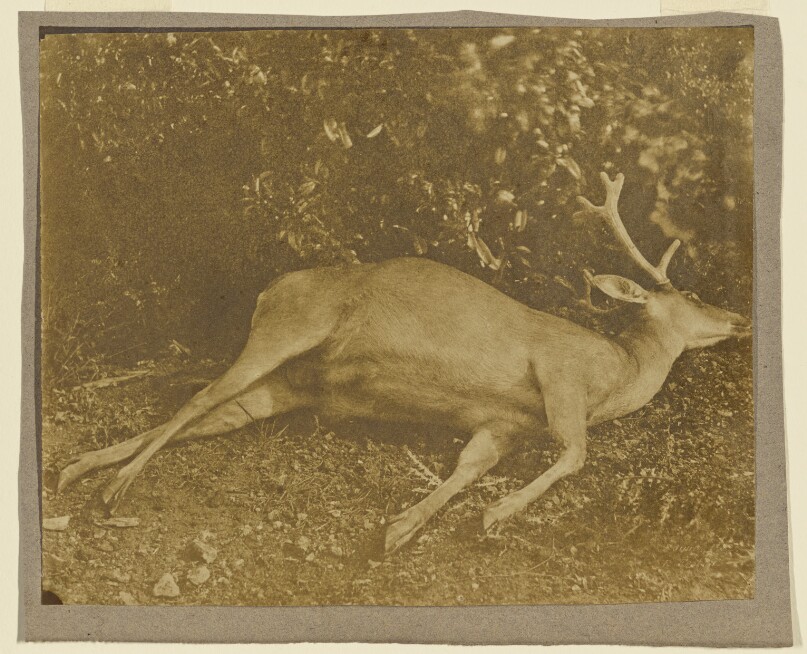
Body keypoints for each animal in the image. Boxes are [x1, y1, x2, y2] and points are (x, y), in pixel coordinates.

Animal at [55, 172, 751, 555]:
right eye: (691, 296)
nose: (740, 319)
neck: (616, 372)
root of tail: (269, 289)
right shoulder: (558, 372)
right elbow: (577, 452)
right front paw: (496, 514)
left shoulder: (503, 423)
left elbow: (468, 469)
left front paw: (401, 530)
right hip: (289, 328)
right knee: (198, 398)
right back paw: (113, 487)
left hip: (287, 388)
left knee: (208, 414)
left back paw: (77, 470)